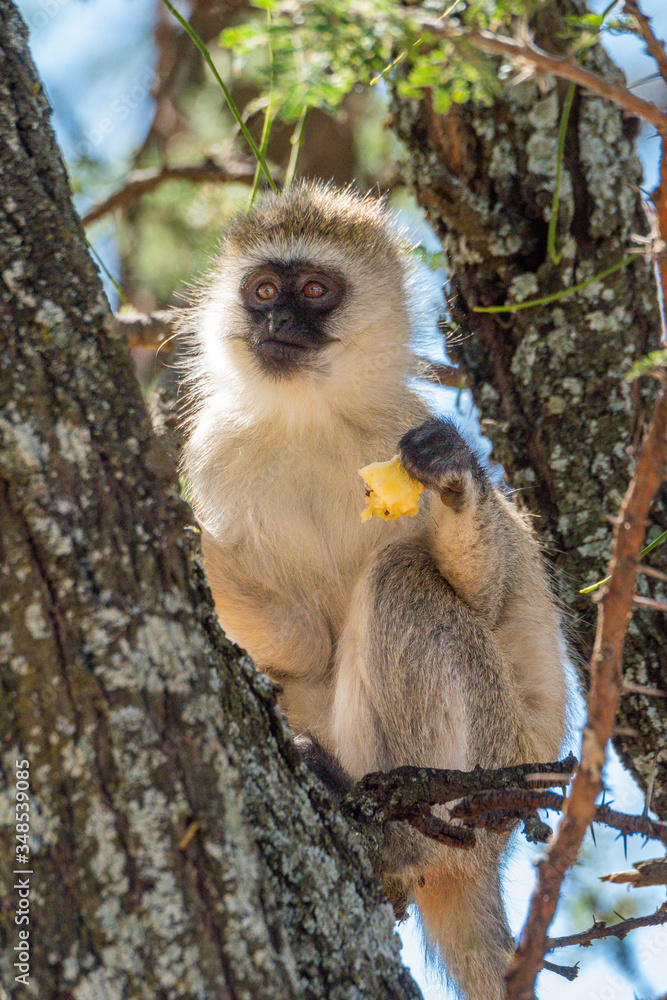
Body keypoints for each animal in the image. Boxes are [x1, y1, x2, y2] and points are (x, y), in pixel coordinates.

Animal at [180, 182, 567, 1000]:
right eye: (263, 290)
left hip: (494, 773)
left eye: (314, 290)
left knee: (404, 584)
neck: (310, 420)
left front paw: (453, 480)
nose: (276, 324)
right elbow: (301, 644)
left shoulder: (403, 423)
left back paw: (397, 830)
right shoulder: (215, 454)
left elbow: (488, 601)